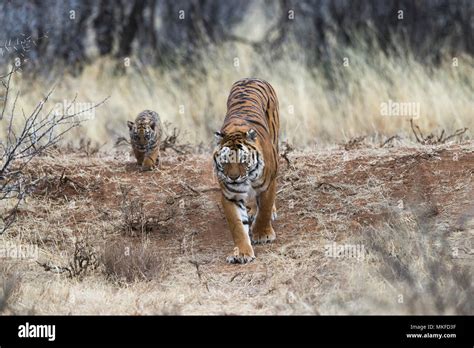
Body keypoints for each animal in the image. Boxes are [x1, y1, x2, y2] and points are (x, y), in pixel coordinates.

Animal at [214, 78, 280, 264]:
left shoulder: (267, 185)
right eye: (225, 160)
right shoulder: (231, 196)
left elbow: (264, 209)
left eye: (243, 160)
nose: (233, 178)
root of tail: (251, 77)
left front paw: (262, 235)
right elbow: (237, 226)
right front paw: (242, 253)